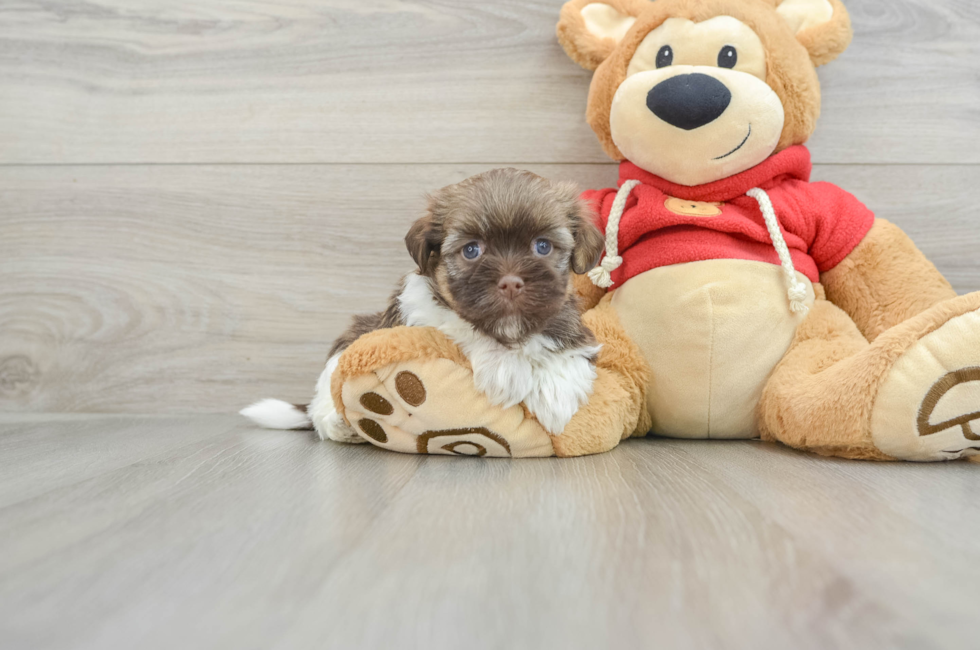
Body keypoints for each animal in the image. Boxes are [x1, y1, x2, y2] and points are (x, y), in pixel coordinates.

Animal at [241, 167, 604, 440]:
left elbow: (564, 337)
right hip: (356, 338)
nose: (511, 282)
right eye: (472, 250)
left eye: (542, 246)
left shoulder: (560, 309)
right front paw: (507, 368)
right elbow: (464, 326)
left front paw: (558, 389)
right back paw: (337, 422)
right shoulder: (422, 308)